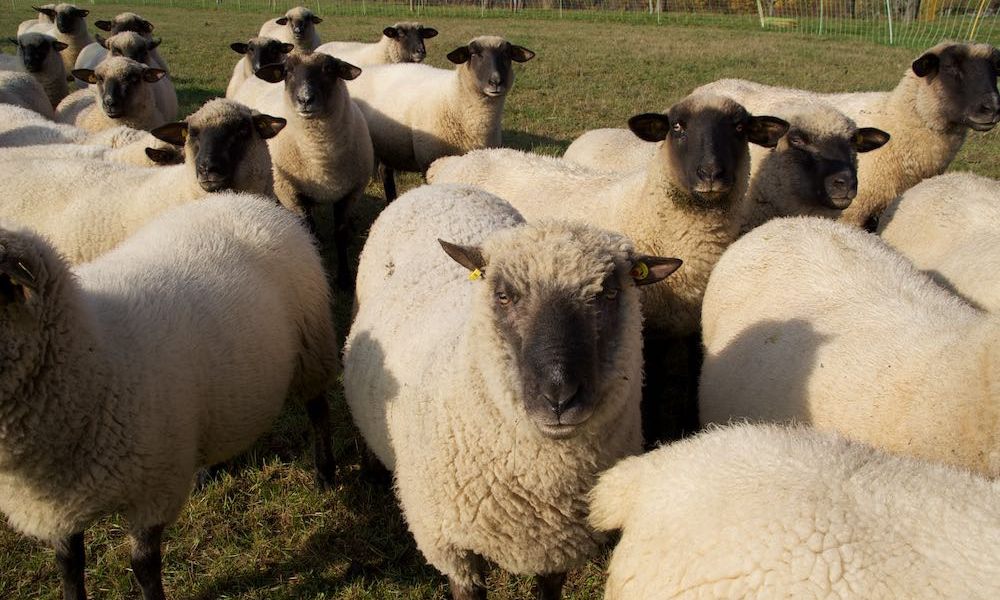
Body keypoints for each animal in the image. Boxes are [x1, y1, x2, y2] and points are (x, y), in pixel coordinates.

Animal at [0, 191, 338, 600]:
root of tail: (246, 200)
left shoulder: (155, 488)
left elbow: (144, 565)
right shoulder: (57, 507)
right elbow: (69, 564)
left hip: (311, 346)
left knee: (318, 410)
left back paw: (325, 473)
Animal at [233, 50, 373, 288]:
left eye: (329, 69)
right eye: (287, 72)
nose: (305, 100)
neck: (321, 160)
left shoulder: (351, 193)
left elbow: (341, 234)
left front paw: (344, 278)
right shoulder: (291, 194)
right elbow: (309, 234)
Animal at [343, 183, 681, 600]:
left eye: (608, 293)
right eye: (504, 295)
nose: (559, 397)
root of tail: (437, 187)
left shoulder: (556, 548)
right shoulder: (451, 548)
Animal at [346, 35, 535, 201]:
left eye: (507, 54)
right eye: (474, 54)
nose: (496, 82)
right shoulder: (429, 160)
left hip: (388, 143)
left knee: (386, 171)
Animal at [694, 42, 1000, 229]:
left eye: (995, 72)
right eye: (950, 69)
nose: (993, 109)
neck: (896, 118)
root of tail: (713, 84)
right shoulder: (853, 213)